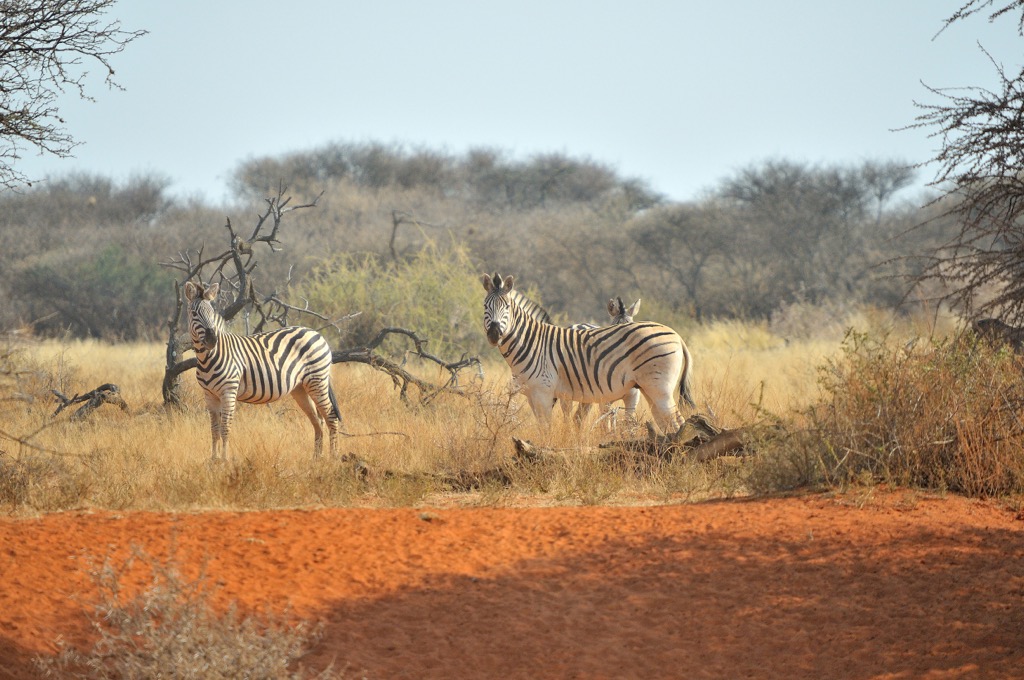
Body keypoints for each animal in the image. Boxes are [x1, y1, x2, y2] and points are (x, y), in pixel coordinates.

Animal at [185, 280, 344, 462]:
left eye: (211, 313)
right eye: (194, 313)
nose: (212, 340)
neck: (207, 357)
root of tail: (316, 334)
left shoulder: (228, 392)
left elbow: (225, 427)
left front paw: (224, 460)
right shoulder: (209, 395)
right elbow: (214, 429)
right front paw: (214, 460)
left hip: (317, 380)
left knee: (331, 416)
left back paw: (333, 457)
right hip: (301, 388)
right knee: (317, 420)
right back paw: (316, 459)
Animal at [481, 274, 696, 432]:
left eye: (507, 306)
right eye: (485, 306)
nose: (494, 334)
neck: (531, 341)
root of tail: (677, 335)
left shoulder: (544, 392)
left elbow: (547, 430)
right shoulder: (532, 395)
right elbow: (544, 428)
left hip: (658, 388)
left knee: (676, 421)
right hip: (648, 388)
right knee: (666, 422)